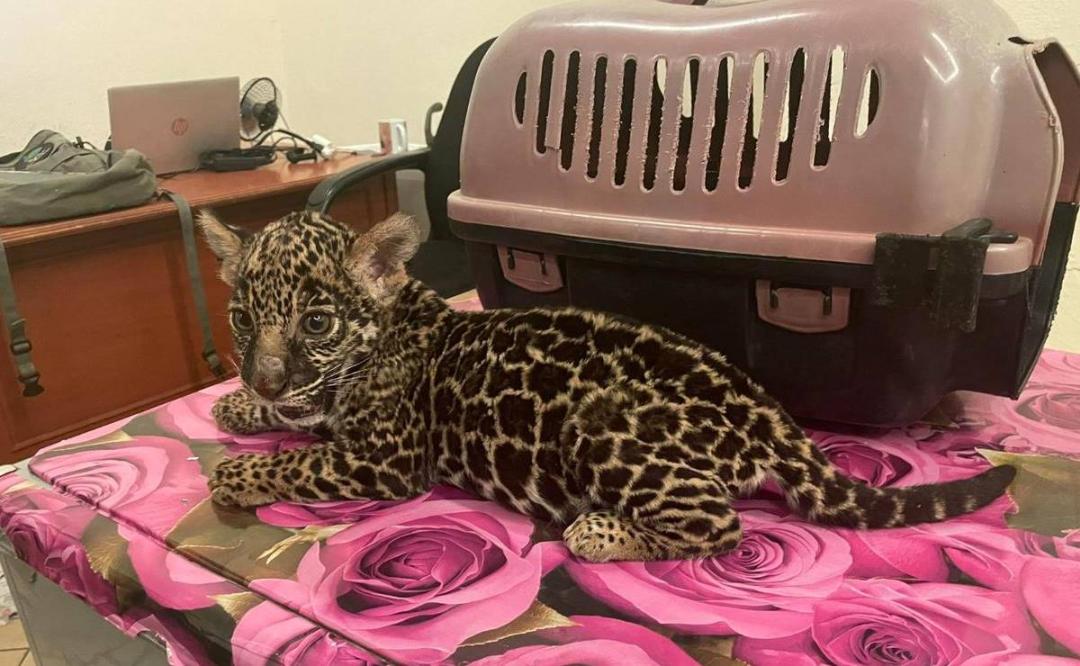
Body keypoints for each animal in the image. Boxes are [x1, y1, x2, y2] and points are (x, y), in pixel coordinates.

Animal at [200, 209, 1016, 563]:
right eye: (240, 318)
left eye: (315, 322)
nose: (263, 377)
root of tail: (774, 417)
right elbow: (299, 423)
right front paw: (241, 404)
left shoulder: (383, 460)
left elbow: (298, 460)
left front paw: (234, 472)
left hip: (600, 424)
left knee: (721, 527)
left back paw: (597, 531)